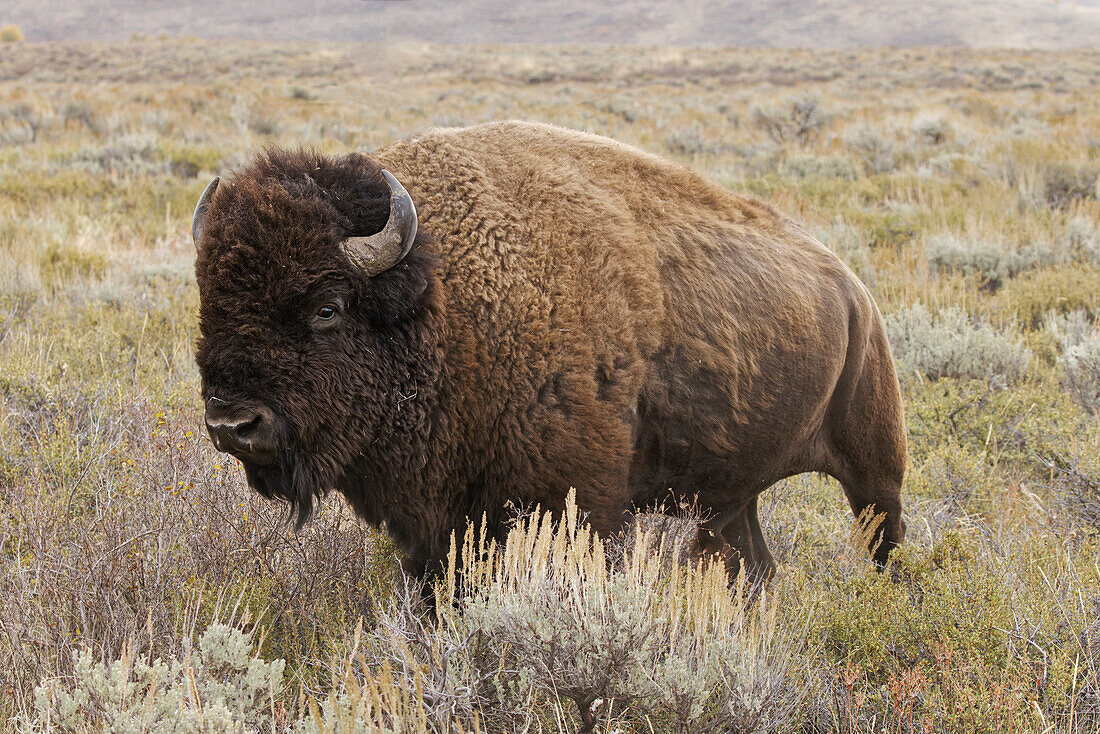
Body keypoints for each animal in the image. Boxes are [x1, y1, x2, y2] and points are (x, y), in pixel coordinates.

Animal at [193, 119, 906, 581]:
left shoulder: (576, 506)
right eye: (207, 301)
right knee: (751, 561)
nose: (233, 424)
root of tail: (855, 292)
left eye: (327, 308)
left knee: (885, 542)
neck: (442, 297)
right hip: (732, 494)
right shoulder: (438, 524)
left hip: (876, 467)